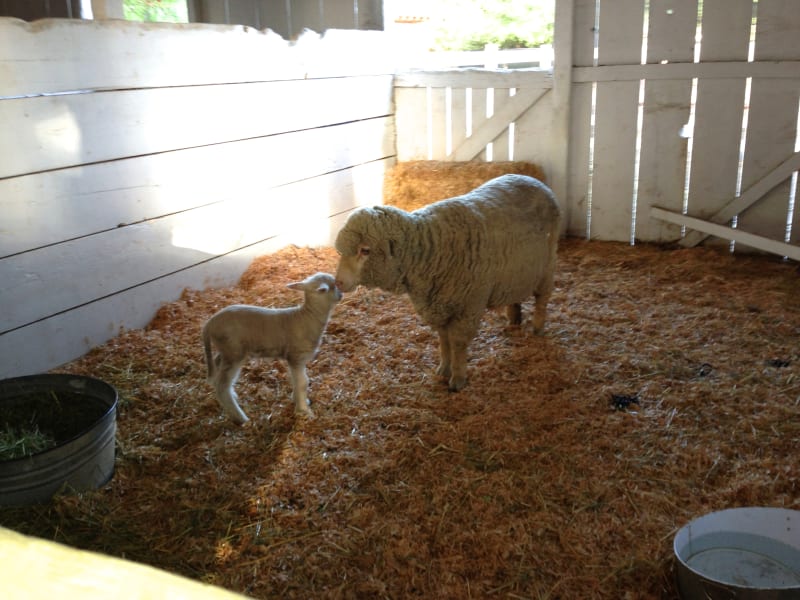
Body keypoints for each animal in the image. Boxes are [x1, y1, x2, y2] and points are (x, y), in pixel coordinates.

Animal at [202, 272, 342, 422]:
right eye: (334, 286)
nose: (341, 295)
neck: (308, 317)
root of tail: (210, 323)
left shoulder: (294, 359)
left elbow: (297, 380)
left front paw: (298, 400)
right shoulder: (296, 357)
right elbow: (303, 382)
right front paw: (304, 410)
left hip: (226, 350)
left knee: (217, 363)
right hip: (233, 352)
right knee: (222, 386)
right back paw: (241, 418)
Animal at [334, 175, 560, 390]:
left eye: (365, 250)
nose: (338, 282)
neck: (431, 249)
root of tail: (535, 181)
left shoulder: (468, 307)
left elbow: (457, 343)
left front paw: (458, 378)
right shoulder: (439, 306)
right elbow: (444, 340)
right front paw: (443, 369)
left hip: (547, 266)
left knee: (542, 300)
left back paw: (538, 328)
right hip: (517, 273)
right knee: (515, 296)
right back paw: (513, 320)